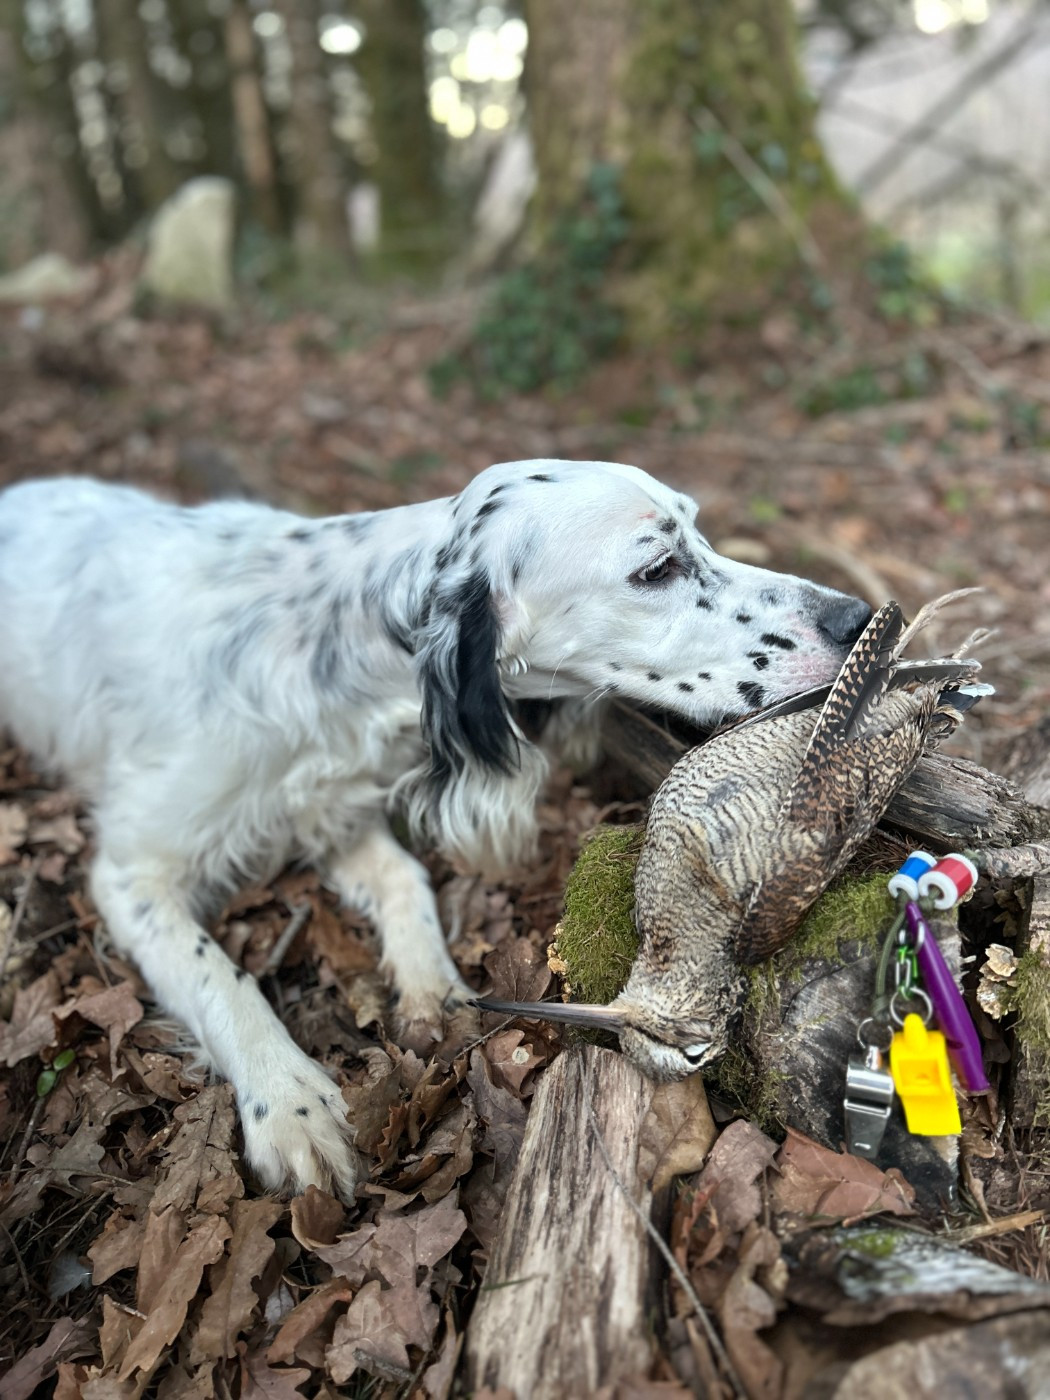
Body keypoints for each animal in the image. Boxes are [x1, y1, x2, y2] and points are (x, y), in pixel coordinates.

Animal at [0, 460, 870, 1198]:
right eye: (656, 569)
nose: (857, 617)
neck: (325, 643)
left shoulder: (338, 811)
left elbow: (405, 880)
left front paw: (434, 989)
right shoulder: (132, 869)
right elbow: (222, 977)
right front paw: (290, 1102)